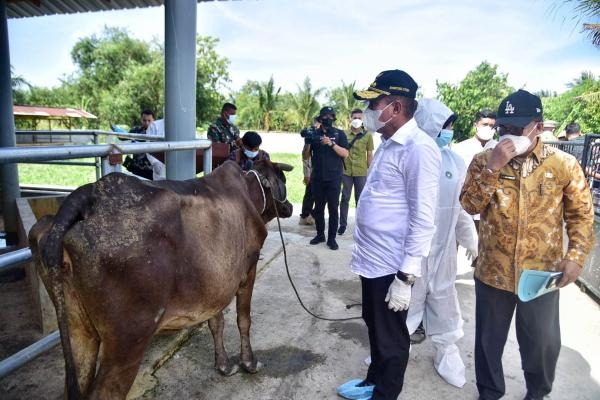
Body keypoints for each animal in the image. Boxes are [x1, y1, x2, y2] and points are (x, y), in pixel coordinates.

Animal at [28, 159, 296, 400]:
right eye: (283, 180)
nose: (291, 207)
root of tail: (88, 194)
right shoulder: (248, 268)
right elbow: (243, 319)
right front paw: (249, 363)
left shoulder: (216, 283)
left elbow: (216, 322)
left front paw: (223, 365)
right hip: (127, 340)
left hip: (78, 331)